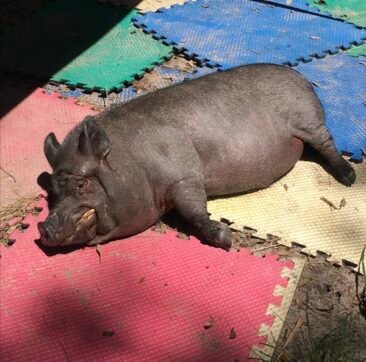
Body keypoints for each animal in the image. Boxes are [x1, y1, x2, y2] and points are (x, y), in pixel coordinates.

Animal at [37, 64, 354, 249]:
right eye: (53, 192)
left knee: (327, 143)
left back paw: (349, 177)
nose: (43, 228)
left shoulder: (185, 176)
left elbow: (193, 211)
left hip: (308, 118)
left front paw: (226, 240)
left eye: (82, 185)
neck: (133, 164)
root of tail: (301, 76)